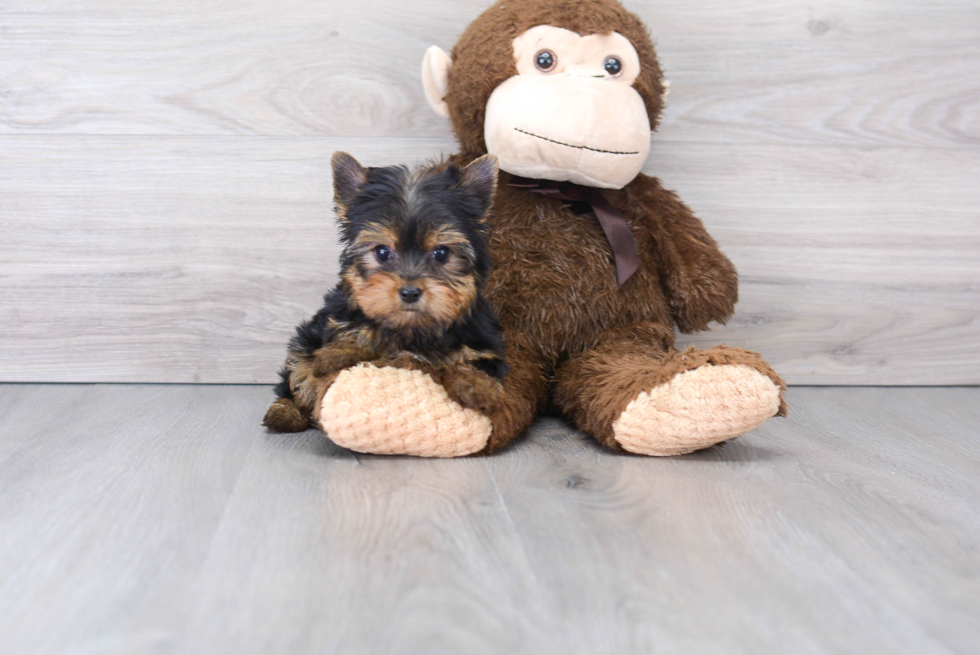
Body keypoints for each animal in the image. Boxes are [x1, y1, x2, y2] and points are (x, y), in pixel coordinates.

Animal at [262, 151, 506, 434]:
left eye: (441, 253)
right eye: (381, 252)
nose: (410, 292)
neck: (411, 329)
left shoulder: (484, 341)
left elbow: (479, 361)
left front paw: (477, 386)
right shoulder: (337, 319)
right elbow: (354, 336)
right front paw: (337, 353)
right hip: (304, 342)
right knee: (296, 372)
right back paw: (284, 412)